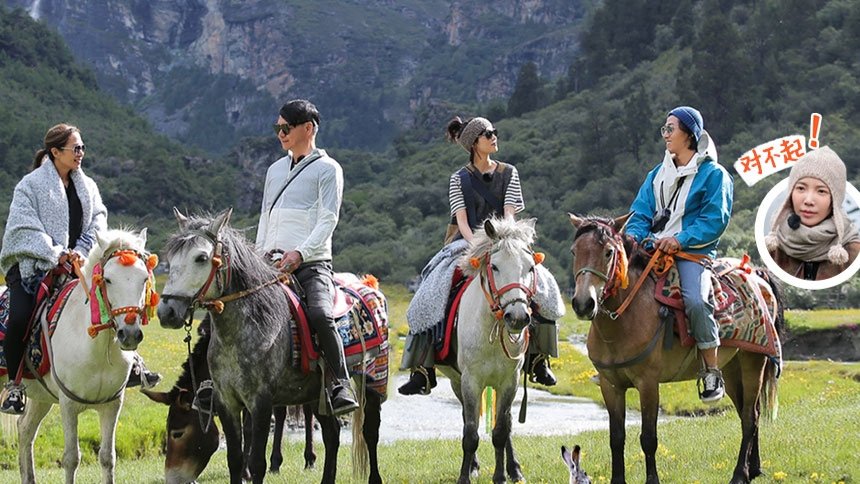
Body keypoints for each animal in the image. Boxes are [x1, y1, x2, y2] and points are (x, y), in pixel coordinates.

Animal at [143, 316, 316, 483]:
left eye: (178, 433)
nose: (171, 478)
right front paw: (245, 471)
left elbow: (249, 429)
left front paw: (247, 472)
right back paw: (276, 463)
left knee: (306, 411)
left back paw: (309, 460)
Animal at [436, 216, 543, 484]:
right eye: (494, 266)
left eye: (530, 268)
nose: (517, 317)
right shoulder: (470, 381)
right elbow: (471, 433)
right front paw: (464, 476)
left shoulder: (509, 381)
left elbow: (501, 431)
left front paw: (501, 476)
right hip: (456, 381)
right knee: (468, 419)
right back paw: (474, 466)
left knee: (506, 424)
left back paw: (514, 469)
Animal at [569, 214, 783, 484]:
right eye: (574, 251)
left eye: (608, 252)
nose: (583, 304)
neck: (625, 319)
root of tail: (757, 274)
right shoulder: (611, 386)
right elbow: (616, 438)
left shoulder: (648, 384)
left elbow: (648, 439)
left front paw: (652, 480)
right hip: (732, 370)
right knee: (750, 411)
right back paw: (753, 469)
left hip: (753, 362)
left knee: (749, 417)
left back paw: (739, 475)